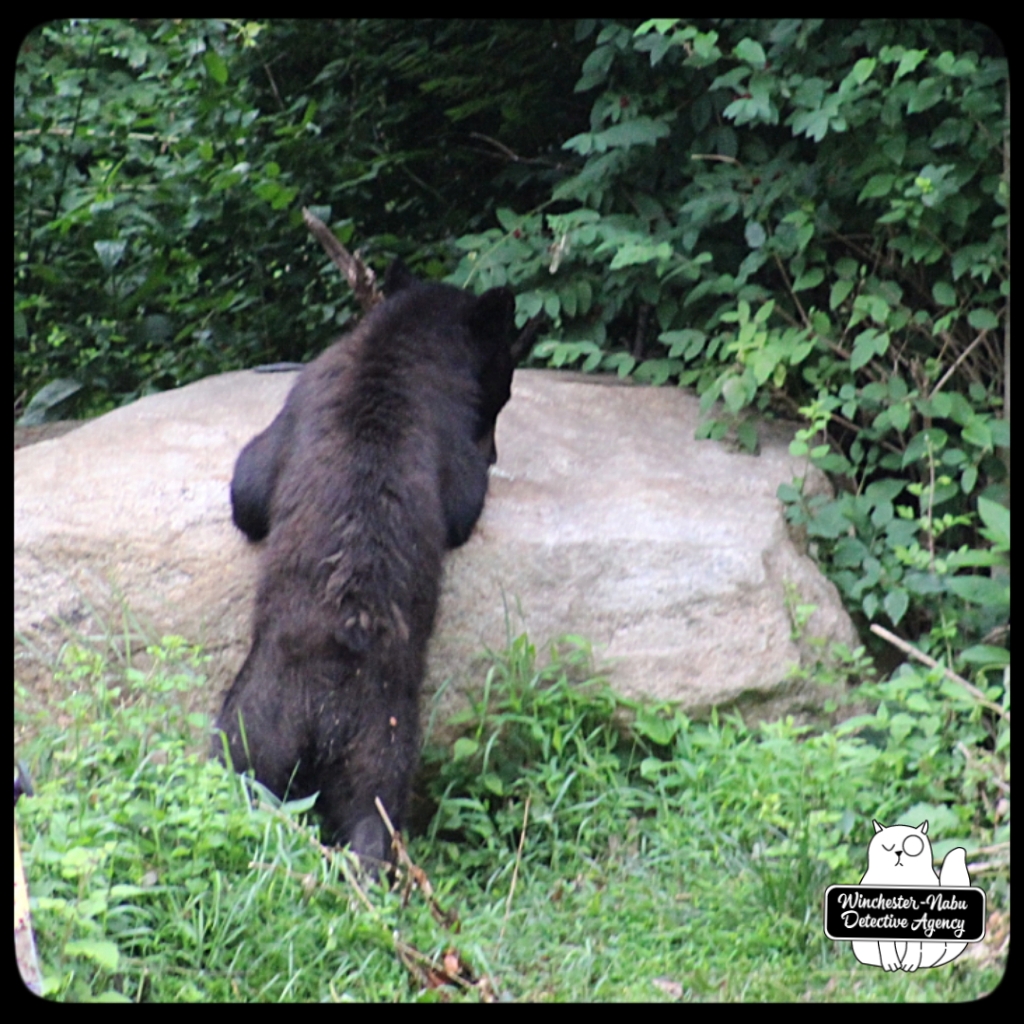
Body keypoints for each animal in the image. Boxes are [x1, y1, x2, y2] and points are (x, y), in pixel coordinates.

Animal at [214, 261, 517, 868]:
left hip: (300, 727)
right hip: (330, 730)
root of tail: (324, 713)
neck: (397, 343)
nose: (495, 452)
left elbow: (249, 490)